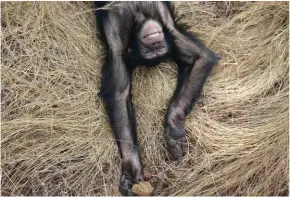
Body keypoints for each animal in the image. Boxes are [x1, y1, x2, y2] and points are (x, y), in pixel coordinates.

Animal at [94, 1, 219, 195]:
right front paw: (131, 166)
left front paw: (173, 127)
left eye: (159, 49)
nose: (154, 41)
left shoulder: (172, 35)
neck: (140, 17)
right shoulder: (118, 49)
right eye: (149, 52)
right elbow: (119, 95)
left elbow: (199, 58)